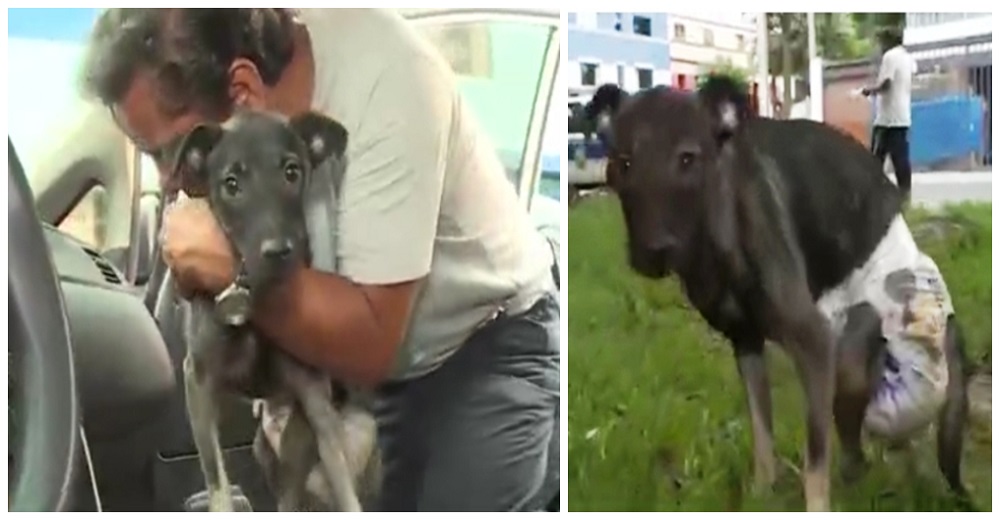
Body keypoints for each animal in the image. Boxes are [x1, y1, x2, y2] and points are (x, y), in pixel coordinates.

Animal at [166, 109, 380, 512]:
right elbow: (217, 481)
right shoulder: (198, 380)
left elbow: (343, 482)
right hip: (265, 449)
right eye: (231, 183)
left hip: (350, 431)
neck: (258, 297)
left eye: (292, 172)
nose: (279, 252)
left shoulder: (315, 398)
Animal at [584, 78, 968, 512]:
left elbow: (815, 457)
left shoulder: (815, 344)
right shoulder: (746, 344)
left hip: (860, 355)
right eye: (623, 163)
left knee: (859, 445)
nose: (652, 252)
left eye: (687, 159)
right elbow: (761, 431)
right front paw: (761, 492)